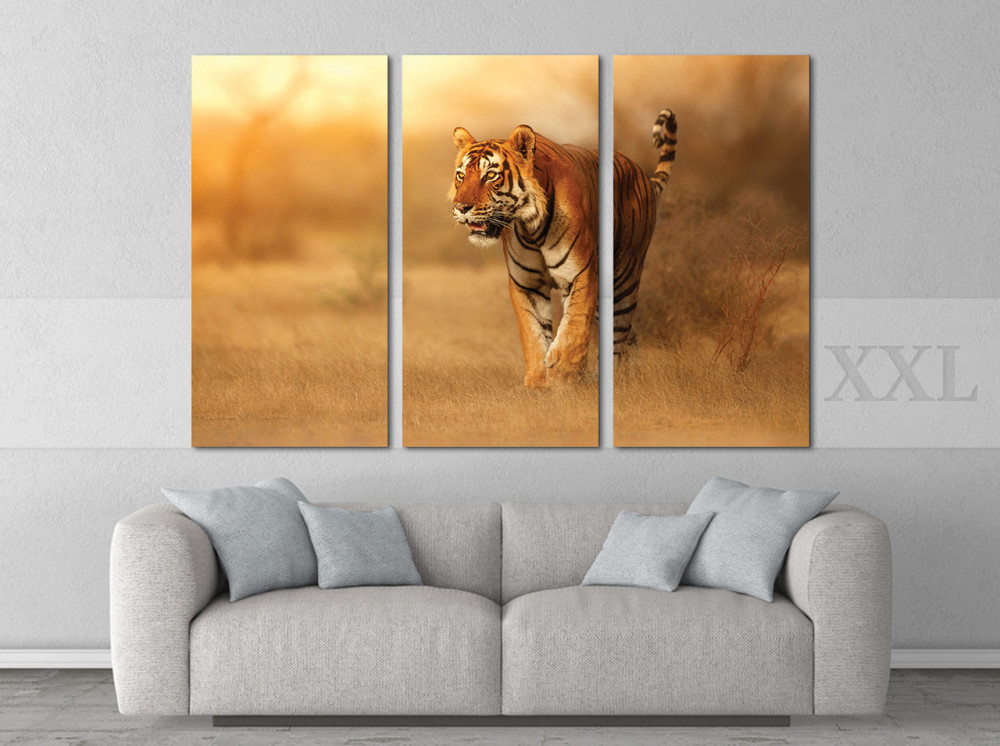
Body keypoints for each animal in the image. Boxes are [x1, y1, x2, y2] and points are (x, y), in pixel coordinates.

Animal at [450, 110, 676, 389]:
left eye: (490, 175)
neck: (530, 226)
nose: (460, 207)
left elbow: (574, 326)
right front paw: (538, 382)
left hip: (624, 277)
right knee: (629, 336)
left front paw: (564, 377)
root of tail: (642, 173)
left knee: (619, 333)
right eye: (461, 176)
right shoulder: (527, 284)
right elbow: (533, 333)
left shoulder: (581, 273)